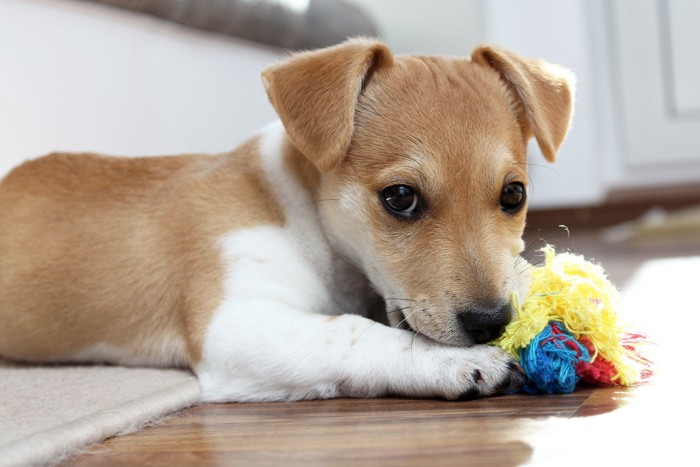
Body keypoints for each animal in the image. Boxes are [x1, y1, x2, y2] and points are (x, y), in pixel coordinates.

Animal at [0, 39, 576, 402]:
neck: (306, 219)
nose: (491, 323)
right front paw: (452, 364)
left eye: (514, 194)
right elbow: (351, 332)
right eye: (400, 198)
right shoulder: (234, 324)